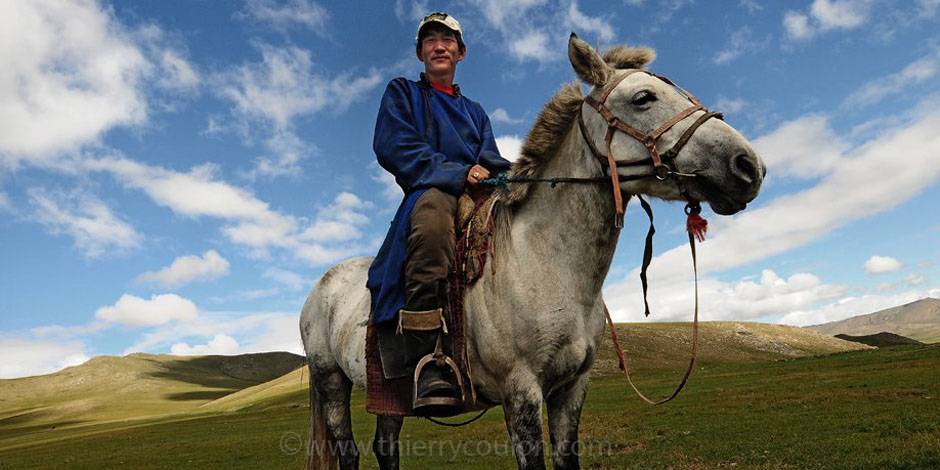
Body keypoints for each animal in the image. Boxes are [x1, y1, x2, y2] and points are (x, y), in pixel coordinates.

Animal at [300, 35, 764, 470]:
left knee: (386, 446)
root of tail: (321, 287)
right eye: (643, 98)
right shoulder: (520, 389)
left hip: (389, 392)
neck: (547, 262)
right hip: (331, 383)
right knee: (349, 452)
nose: (748, 166)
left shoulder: (572, 387)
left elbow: (566, 457)